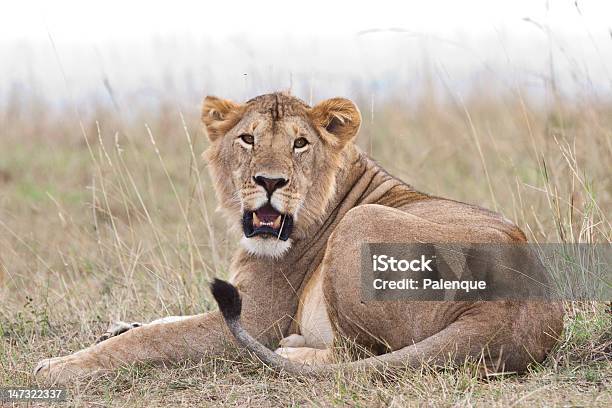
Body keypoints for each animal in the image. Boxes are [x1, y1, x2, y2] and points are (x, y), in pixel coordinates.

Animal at [34, 91, 564, 382]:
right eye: (247, 138)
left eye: (300, 143)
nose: (270, 181)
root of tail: (512, 314)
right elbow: (160, 324)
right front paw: (122, 325)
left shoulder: (258, 316)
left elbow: (149, 341)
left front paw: (59, 367)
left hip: (361, 227)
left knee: (357, 355)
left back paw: (292, 350)